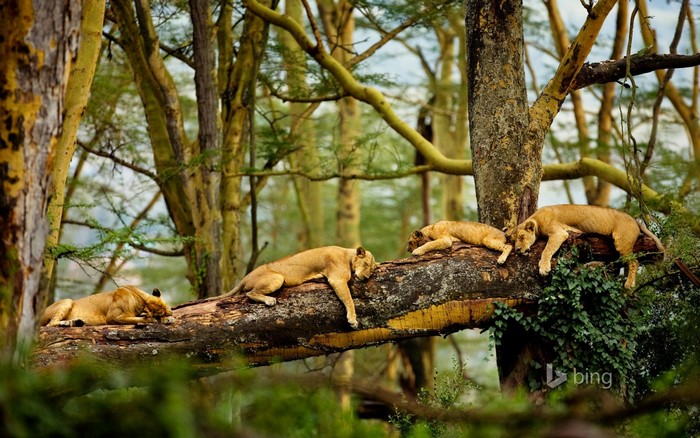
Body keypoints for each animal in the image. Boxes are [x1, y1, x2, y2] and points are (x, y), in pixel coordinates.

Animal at [41, 286, 174, 327]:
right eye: (160, 313)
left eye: (167, 306)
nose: (171, 313)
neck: (140, 300)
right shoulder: (112, 318)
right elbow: (136, 319)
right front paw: (153, 319)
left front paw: (168, 319)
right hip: (67, 301)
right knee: (50, 324)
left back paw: (75, 322)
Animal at [217, 246, 377, 329]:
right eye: (365, 264)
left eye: (371, 270)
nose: (366, 277)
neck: (348, 255)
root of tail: (246, 277)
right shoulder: (337, 279)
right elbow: (349, 300)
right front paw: (352, 320)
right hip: (277, 278)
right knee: (249, 293)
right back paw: (269, 300)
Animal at [505, 204, 665, 289]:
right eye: (513, 241)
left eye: (521, 237)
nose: (518, 249)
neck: (536, 219)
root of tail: (634, 219)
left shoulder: (559, 233)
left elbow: (547, 250)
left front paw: (544, 268)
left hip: (622, 242)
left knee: (634, 262)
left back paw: (629, 284)